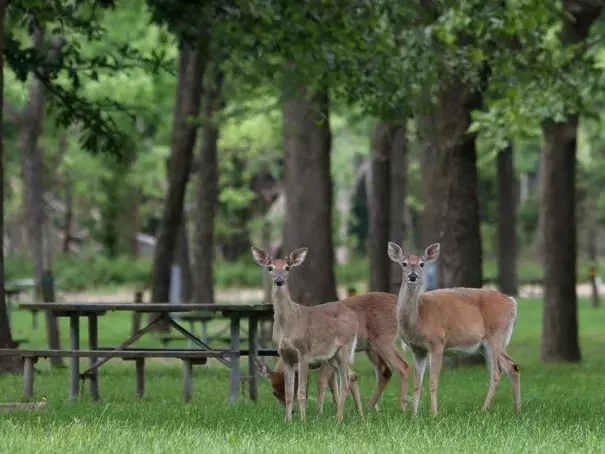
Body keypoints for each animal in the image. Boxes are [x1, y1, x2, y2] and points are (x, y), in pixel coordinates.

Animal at [250, 247, 364, 424]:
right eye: (270, 267)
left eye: (287, 268)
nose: (279, 281)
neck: (288, 324)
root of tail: (353, 315)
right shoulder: (285, 355)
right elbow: (290, 392)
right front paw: (288, 421)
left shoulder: (304, 352)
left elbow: (301, 390)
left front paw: (303, 421)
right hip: (331, 357)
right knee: (349, 377)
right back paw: (356, 416)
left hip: (345, 348)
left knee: (345, 382)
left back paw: (338, 419)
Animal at [252, 292, 408, 414]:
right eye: (274, 392)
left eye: (295, 387)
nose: (292, 411)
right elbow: (334, 385)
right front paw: (337, 408)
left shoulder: (327, 356)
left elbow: (322, 382)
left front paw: (319, 412)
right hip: (370, 347)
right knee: (385, 371)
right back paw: (369, 407)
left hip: (382, 340)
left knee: (403, 366)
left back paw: (402, 409)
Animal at [390, 241, 520, 414]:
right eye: (404, 263)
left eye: (422, 264)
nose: (413, 276)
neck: (418, 319)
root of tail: (513, 302)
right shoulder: (417, 349)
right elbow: (417, 383)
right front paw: (414, 415)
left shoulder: (437, 342)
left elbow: (433, 381)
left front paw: (434, 414)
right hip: (488, 344)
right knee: (512, 366)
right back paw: (517, 409)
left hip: (495, 335)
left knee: (496, 373)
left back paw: (483, 409)